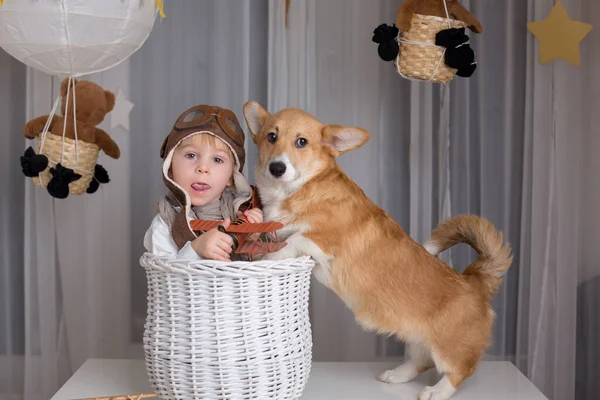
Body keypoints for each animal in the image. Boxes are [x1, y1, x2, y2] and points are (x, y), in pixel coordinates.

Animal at [241, 101, 512, 400]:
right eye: (271, 136)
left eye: (302, 142)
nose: (277, 167)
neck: (296, 190)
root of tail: (475, 280)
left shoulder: (317, 239)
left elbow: (291, 241)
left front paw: (265, 258)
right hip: (415, 336)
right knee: (421, 361)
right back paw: (396, 375)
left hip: (448, 348)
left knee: (460, 370)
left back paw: (436, 391)